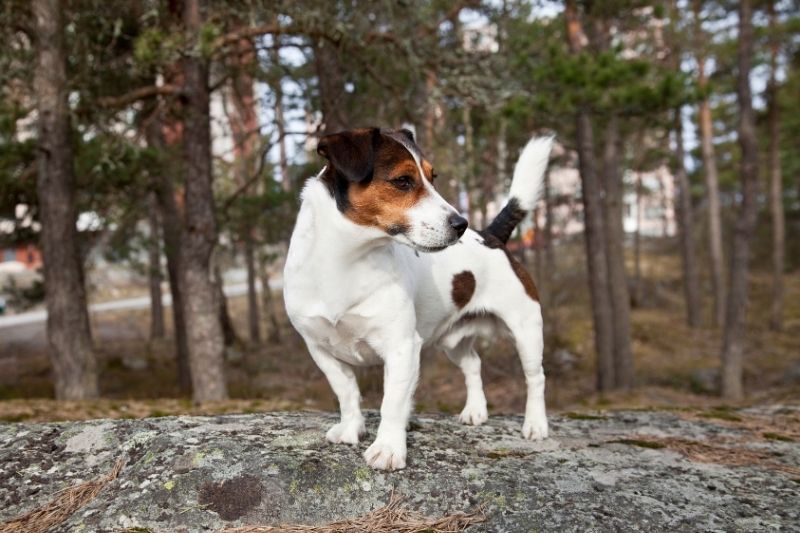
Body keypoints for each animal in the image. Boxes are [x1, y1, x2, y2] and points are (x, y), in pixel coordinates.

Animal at [284, 128, 552, 470]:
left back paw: (536, 424)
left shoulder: (401, 347)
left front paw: (387, 448)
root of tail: (490, 235)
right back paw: (476, 411)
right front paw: (351, 427)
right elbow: (346, 390)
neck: (346, 261)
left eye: (433, 177)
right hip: (453, 341)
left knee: (535, 377)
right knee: (473, 364)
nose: (461, 224)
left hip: (526, 329)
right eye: (403, 181)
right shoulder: (320, 349)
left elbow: (392, 403)